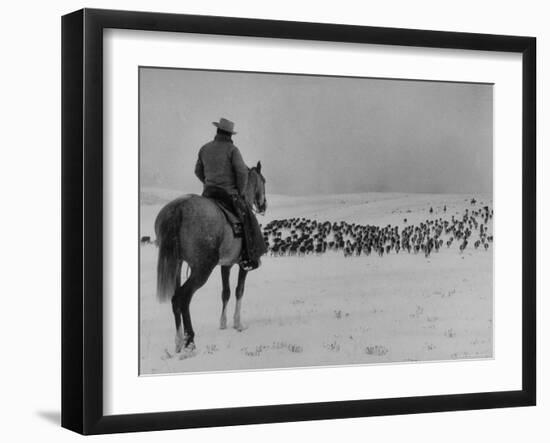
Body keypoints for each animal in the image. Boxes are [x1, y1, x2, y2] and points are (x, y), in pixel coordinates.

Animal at [155, 161, 268, 356]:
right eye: (264, 181)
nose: (263, 205)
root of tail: (179, 208)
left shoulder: (226, 265)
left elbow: (225, 292)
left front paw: (223, 324)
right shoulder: (242, 265)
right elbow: (239, 290)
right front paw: (238, 323)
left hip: (177, 264)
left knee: (175, 299)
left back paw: (178, 342)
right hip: (202, 268)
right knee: (183, 297)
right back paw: (190, 341)